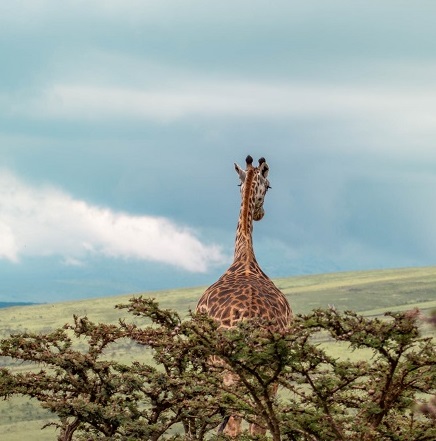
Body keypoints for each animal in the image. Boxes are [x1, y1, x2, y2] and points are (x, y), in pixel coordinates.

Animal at [196, 153, 292, 434]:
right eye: (269, 186)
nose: (260, 214)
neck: (245, 257)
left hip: (232, 371)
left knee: (237, 421)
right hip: (269, 371)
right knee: (259, 420)